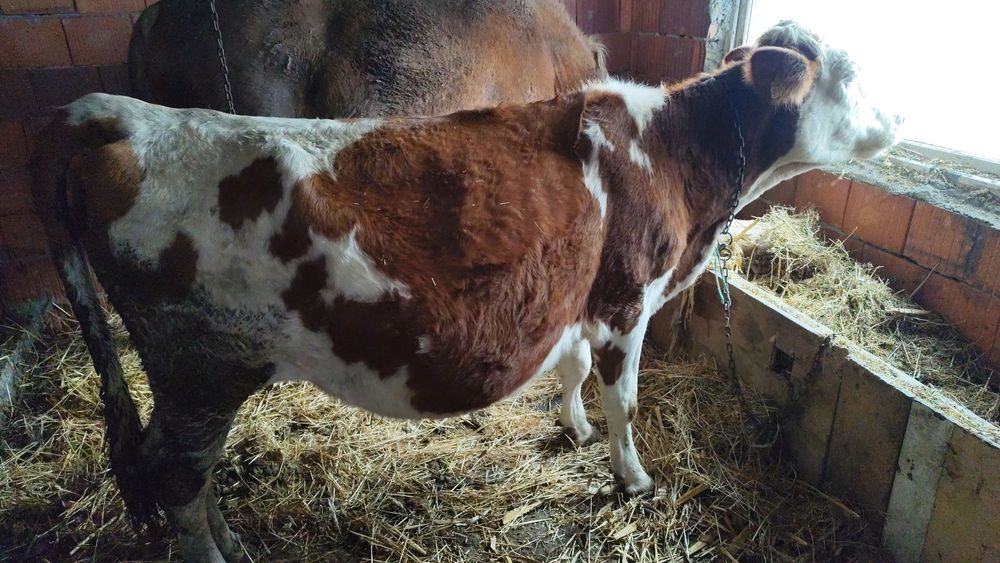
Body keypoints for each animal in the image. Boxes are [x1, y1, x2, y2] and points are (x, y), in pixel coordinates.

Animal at [31, 21, 899, 562]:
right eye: (851, 78)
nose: (895, 120)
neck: (679, 158)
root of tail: (134, 116)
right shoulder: (628, 297)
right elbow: (624, 399)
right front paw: (632, 475)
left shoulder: (580, 298)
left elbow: (571, 372)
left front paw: (575, 429)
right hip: (201, 362)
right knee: (176, 475)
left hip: (194, 371)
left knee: (181, 466)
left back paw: (234, 540)